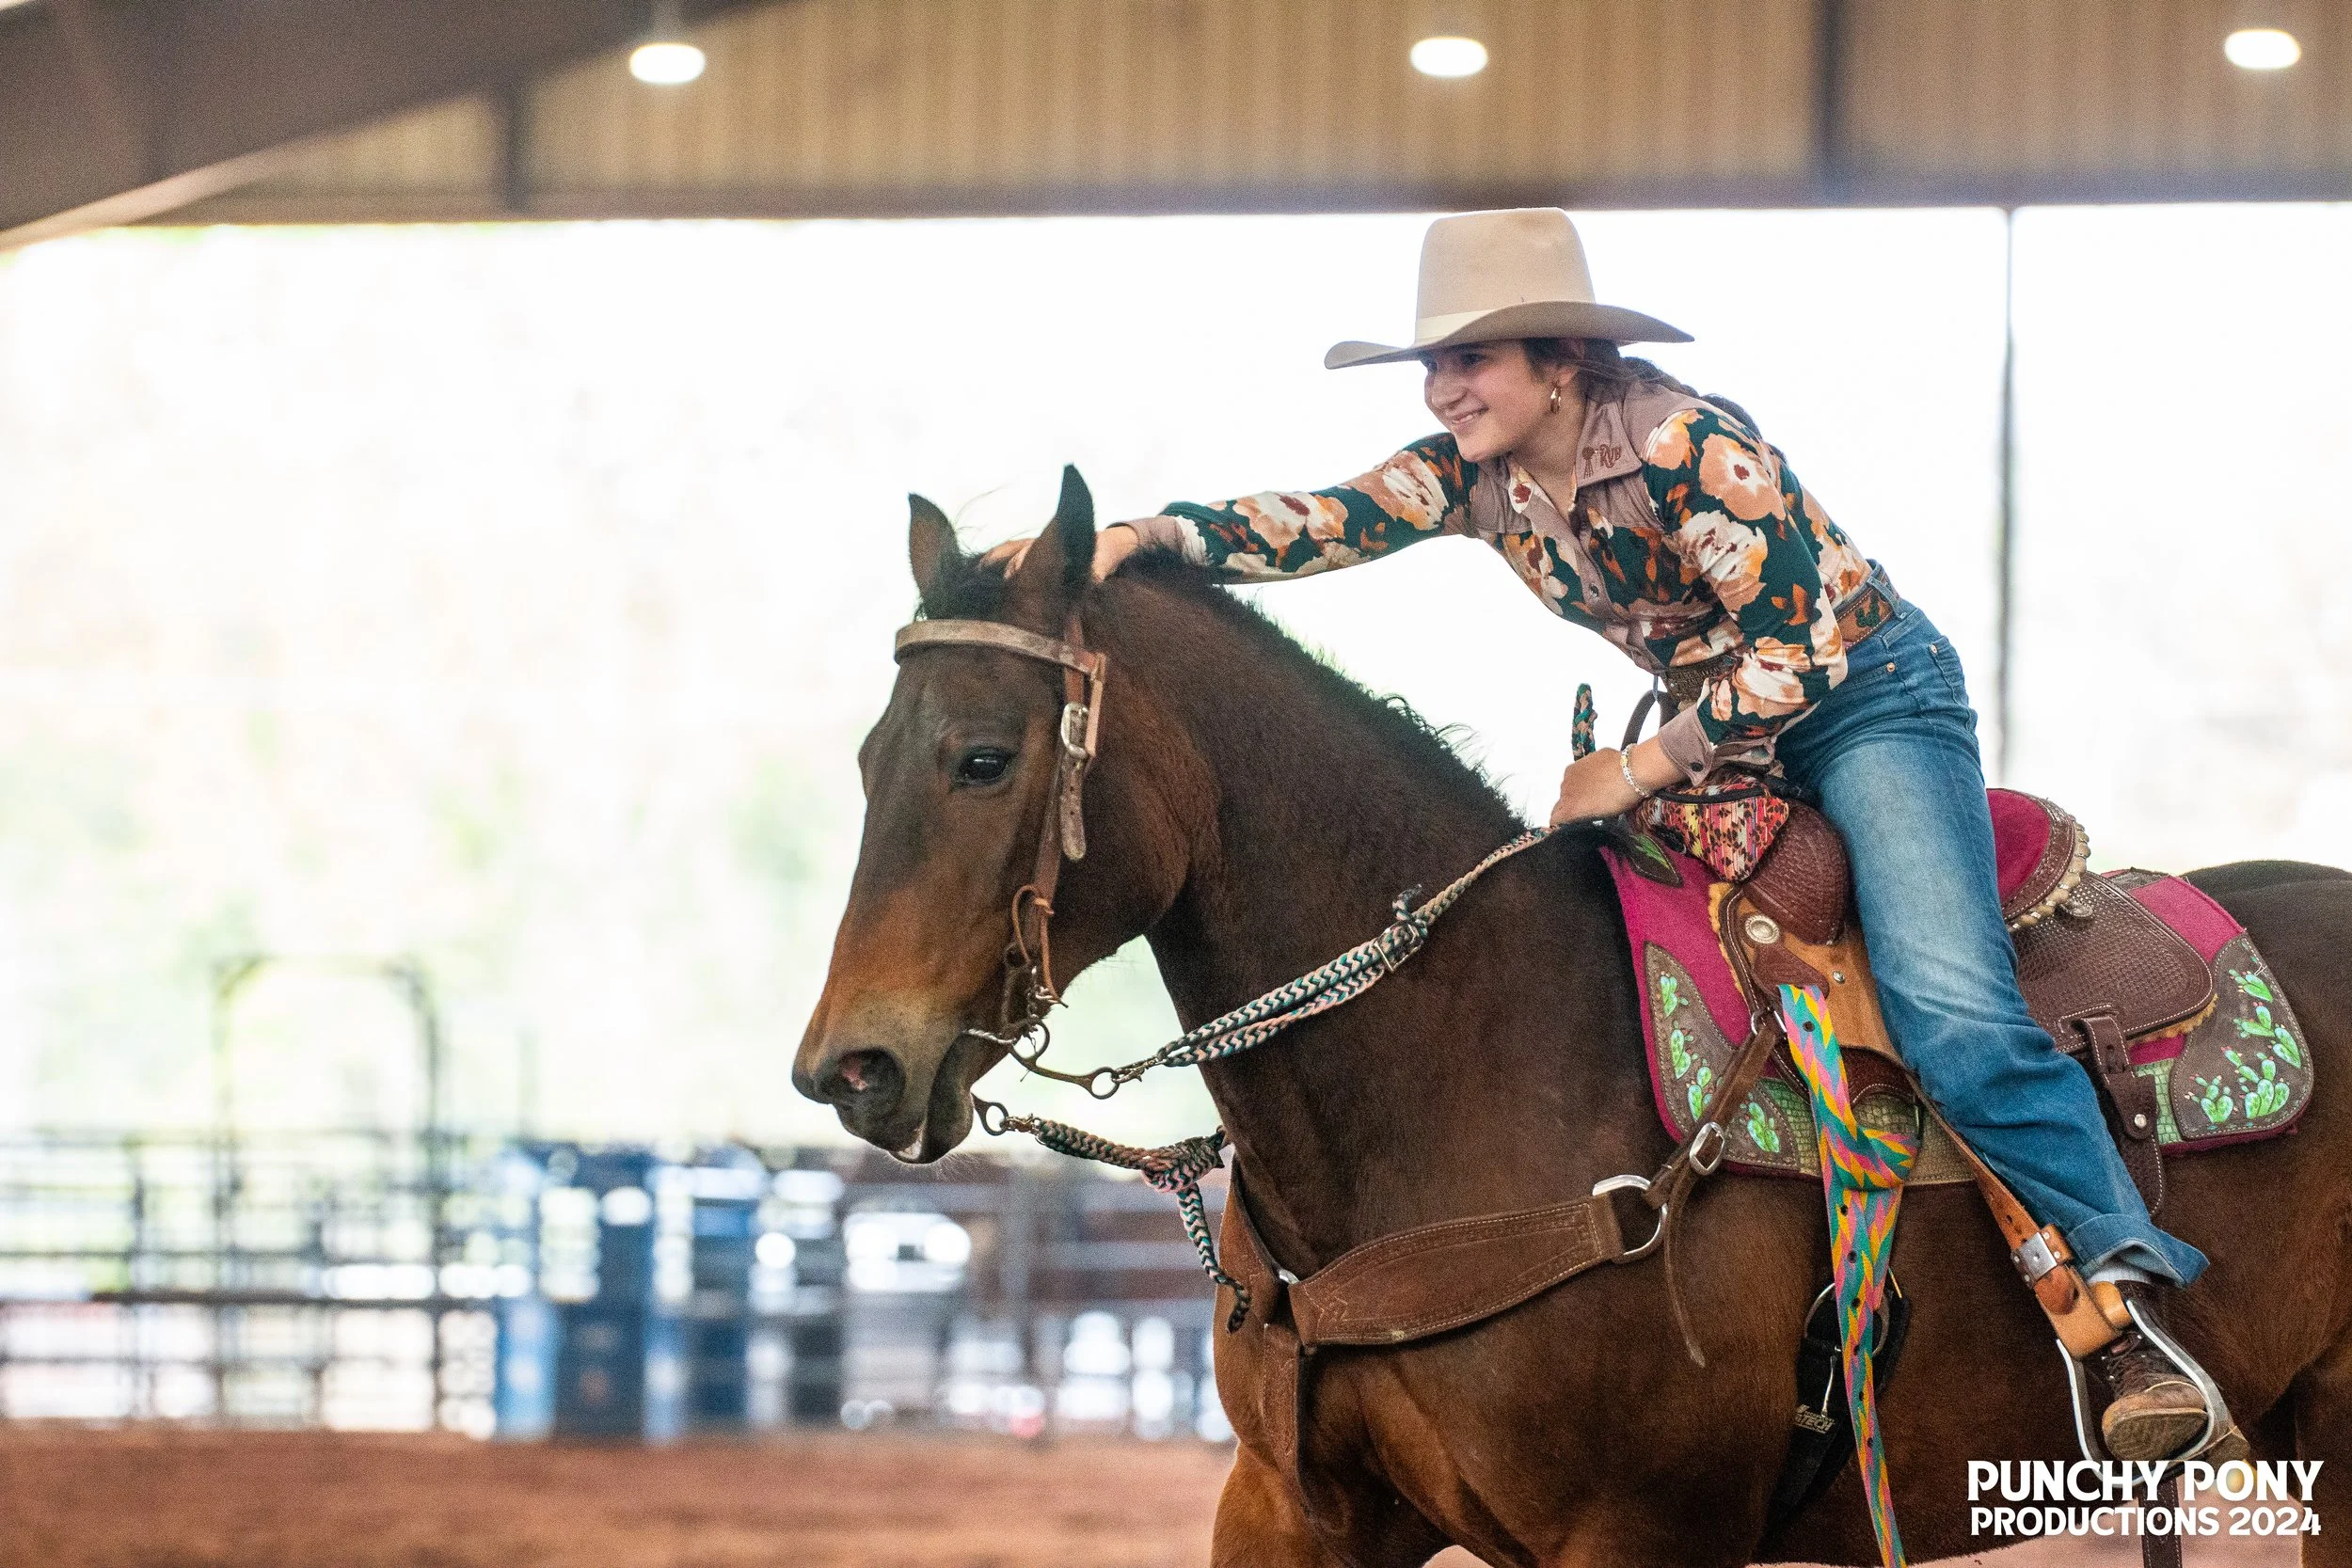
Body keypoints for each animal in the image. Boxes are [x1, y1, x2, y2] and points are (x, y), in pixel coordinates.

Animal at [794, 472, 2352, 1568]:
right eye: (866, 757)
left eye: (983, 756)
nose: (848, 1066)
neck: (1458, 1063)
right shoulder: (1288, 1508)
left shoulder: (1637, 1530)